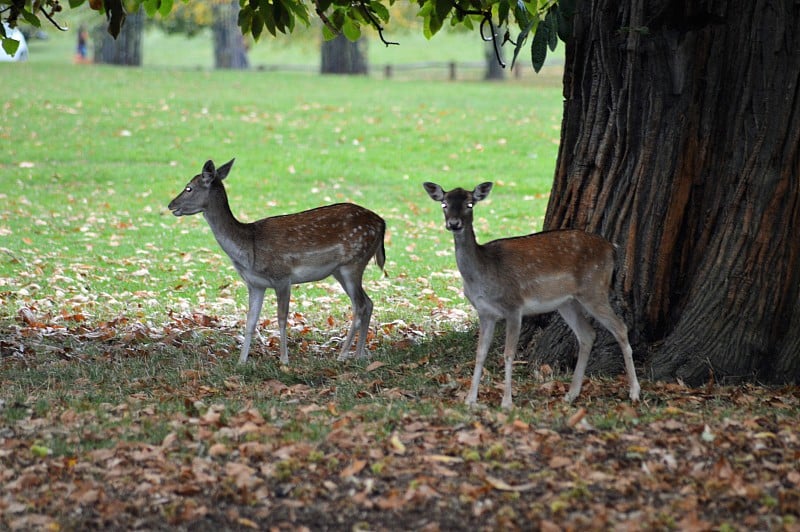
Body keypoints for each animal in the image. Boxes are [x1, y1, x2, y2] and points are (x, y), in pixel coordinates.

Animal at [167, 160, 386, 364]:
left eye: (189, 187)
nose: (171, 205)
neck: (248, 247)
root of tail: (382, 223)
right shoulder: (255, 284)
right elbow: (250, 321)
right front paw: (241, 362)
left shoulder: (282, 276)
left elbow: (281, 318)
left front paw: (284, 360)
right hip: (339, 271)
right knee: (368, 302)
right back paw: (359, 355)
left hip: (354, 262)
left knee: (360, 306)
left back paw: (342, 355)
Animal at [422, 181, 640, 410]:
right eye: (444, 204)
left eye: (470, 204)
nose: (454, 224)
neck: (483, 275)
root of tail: (612, 248)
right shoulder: (485, 312)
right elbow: (480, 353)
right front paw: (470, 400)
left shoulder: (513, 306)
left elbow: (508, 354)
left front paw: (507, 402)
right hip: (567, 302)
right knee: (587, 334)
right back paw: (571, 394)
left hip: (594, 289)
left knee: (620, 328)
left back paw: (634, 392)